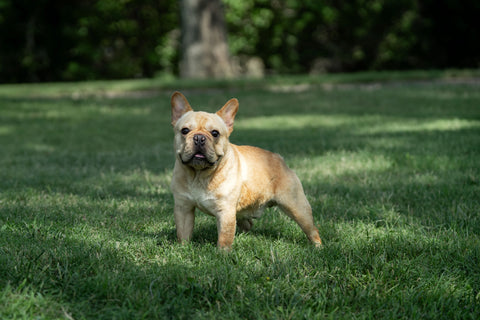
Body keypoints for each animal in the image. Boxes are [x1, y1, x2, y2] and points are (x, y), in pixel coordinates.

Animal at [169, 91, 322, 249]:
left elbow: (224, 237)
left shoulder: (225, 213)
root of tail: (280, 159)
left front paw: (222, 252)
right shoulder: (183, 208)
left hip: (297, 207)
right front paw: (183, 248)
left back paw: (317, 247)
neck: (199, 175)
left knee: (312, 229)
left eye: (215, 133)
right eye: (185, 131)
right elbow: (183, 233)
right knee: (247, 223)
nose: (199, 137)